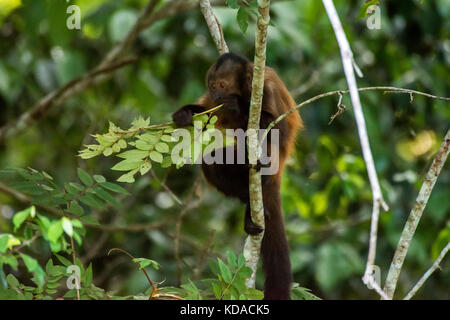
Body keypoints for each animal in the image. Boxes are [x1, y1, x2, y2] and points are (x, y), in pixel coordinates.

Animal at [172, 51, 302, 298]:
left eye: (223, 85)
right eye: (212, 85)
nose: (217, 94)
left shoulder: (266, 88)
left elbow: (279, 130)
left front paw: (238, 105)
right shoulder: (212, 103)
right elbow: (206, 116)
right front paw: (184, 114)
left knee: (262, 143)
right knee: (211, 159)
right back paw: (247, 203)